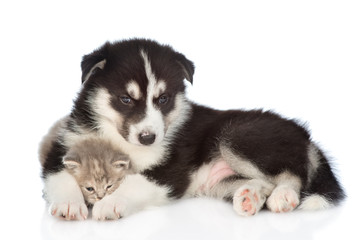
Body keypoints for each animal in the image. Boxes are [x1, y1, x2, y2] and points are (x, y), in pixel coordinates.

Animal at [40, 38, 346, 220]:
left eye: (163, 99)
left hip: (238, 136)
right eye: (125, 99)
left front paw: (109, 203)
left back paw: (283, 196)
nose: (148, 138)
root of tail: (306, 137)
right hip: (220, 181)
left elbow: (135, 181)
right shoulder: (63, 148)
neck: (119, 141)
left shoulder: (171, 170)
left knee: (293, 174)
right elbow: (60, 176)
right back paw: (250, 198)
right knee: (264, 181)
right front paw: (69, 205)